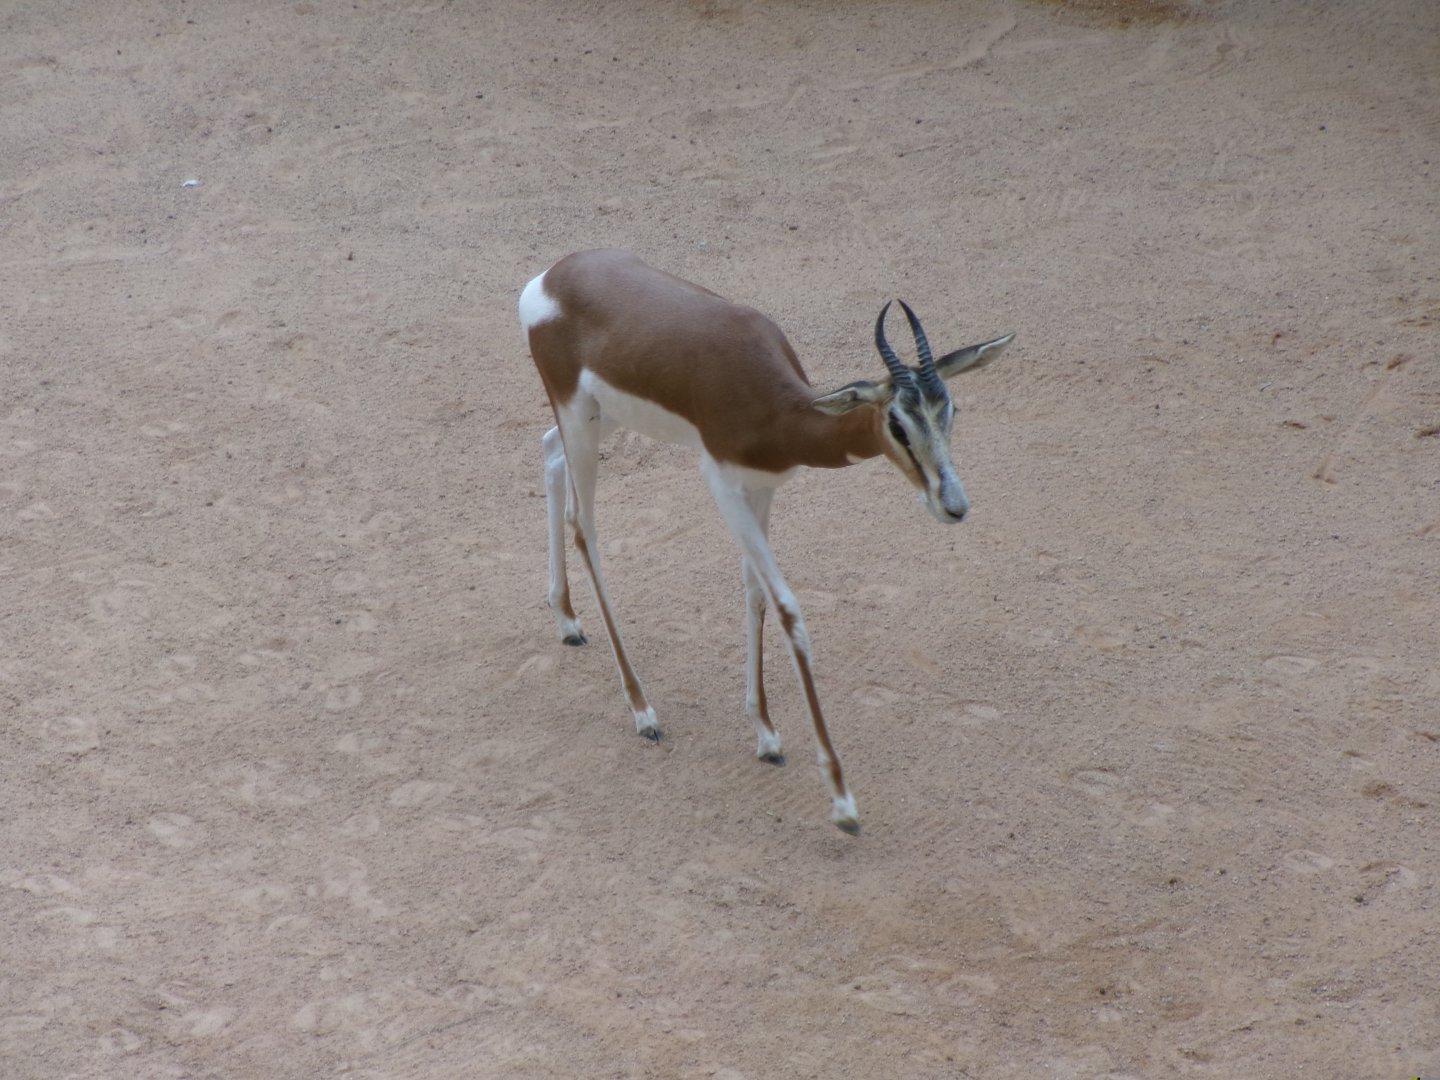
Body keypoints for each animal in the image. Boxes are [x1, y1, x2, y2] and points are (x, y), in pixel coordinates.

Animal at [519, 249, 1012, 833]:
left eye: (949, 411)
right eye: (897, 423)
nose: (952, 504)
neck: (776, 407)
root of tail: (551, 276)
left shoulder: (762, 488)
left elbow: (753, 593)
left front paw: (766, 735)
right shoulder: (721, 483)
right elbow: (788, 609)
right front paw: (842, 803)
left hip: (602, 417)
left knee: (549, 453)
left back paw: (567, 621)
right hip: (578, 413)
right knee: (583, 524)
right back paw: (642, 710)